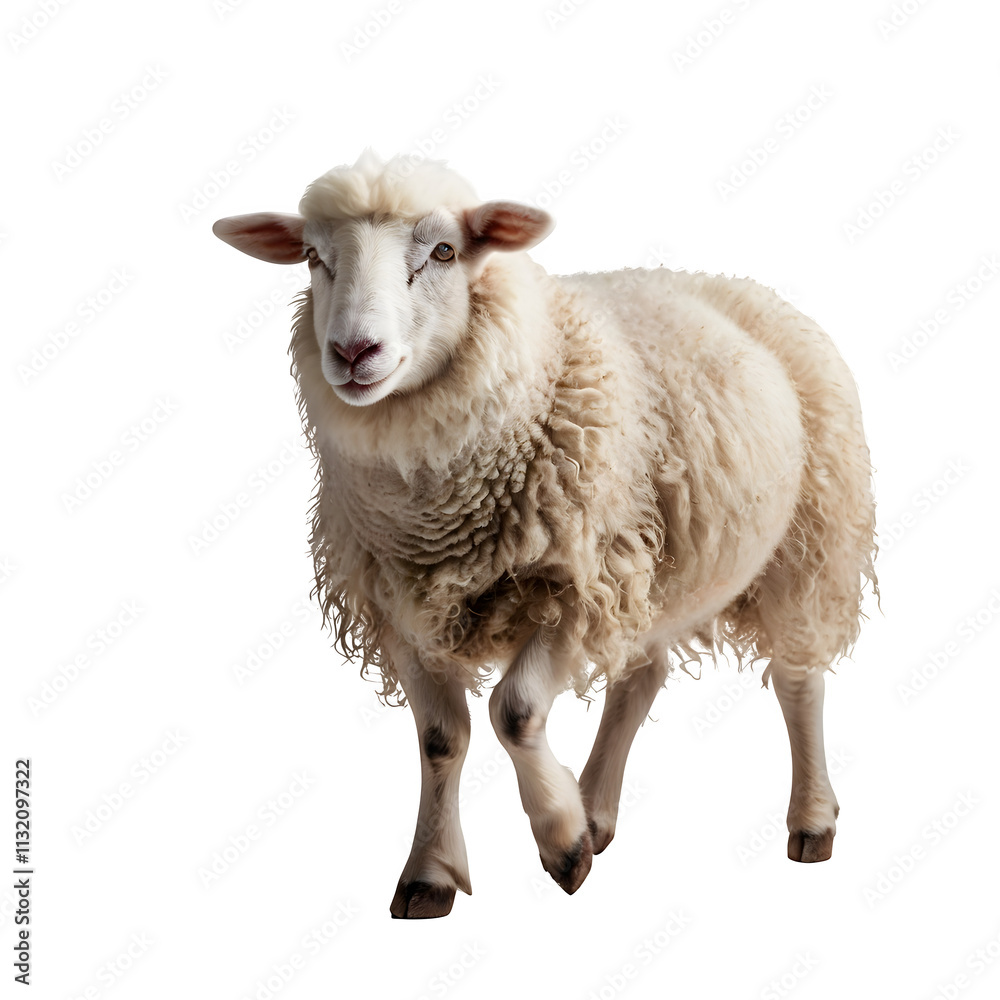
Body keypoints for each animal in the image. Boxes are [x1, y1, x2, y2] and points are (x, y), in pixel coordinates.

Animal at [212, 150, 878, 919]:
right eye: (315, 258)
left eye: (444, 252)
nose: (353, 352)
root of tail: (736, 285)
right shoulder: (401, 605)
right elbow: (441, 739)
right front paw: (433, 872)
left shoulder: (573, 582)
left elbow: (516, 712)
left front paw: (562, 844)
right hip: (650, 570)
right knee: (640, 680)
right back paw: (597, 808)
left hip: (811, 539)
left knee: (798, 681)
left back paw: (811, 819)